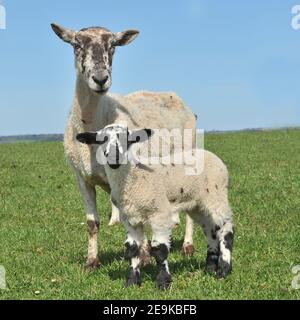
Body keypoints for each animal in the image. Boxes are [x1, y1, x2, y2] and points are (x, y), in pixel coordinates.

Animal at [51, 22, 197, 268]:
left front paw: (144, 256)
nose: (101, 79)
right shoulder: (82, 178)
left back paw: (187, 245)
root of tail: (173, 95)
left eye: (113, 46)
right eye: (77, 45)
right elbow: (92, 222)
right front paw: (91, 261)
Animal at [77, 125, 234, 290]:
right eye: (102, 140)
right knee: (211, 231)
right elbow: (132, 249)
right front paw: (132, 281)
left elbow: (159, 250)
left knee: (226, 229)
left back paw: (224, 269)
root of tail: (211, 155)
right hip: (197, 205)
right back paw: (210, 268)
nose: (114, 156)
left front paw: (163, 282)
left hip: (216, 195)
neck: (133, 179)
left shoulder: (160, 213)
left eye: (127, 138)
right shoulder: (129, 218)